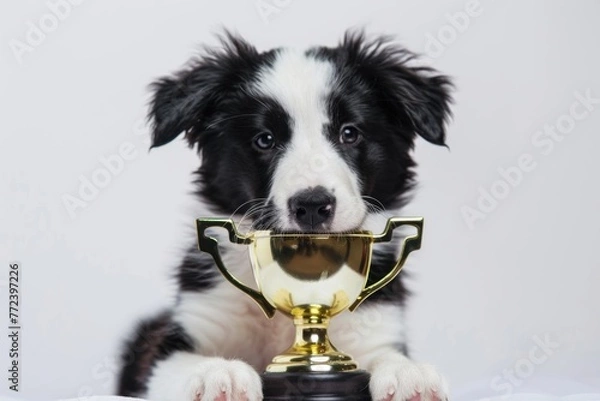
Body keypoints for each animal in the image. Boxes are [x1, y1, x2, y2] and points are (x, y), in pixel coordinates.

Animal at [117, 30, 452, 400]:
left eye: (349, 133)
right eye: (265, 140)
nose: (312, 206)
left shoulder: (375, 324)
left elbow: (385, 355)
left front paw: (410, 373)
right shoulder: (180, 334)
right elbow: (180, 364)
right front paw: (218, 372)